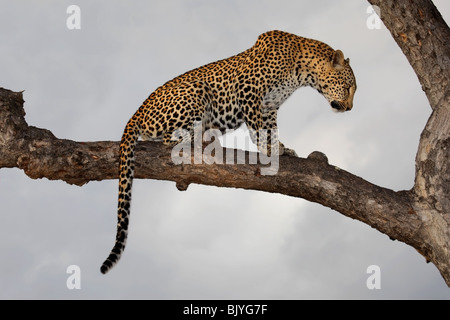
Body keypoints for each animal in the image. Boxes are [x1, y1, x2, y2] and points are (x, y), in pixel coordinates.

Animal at [100, 30, 356, 274]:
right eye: (348, 87)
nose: (350, 108)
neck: (302, 70)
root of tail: (137, 112)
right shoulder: (249, 91)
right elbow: (257, 129)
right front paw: (268, 149)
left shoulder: (269, 105)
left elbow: (271, 129)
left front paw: (281, 148)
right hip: (196, 91)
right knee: (168, 138)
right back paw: (199, 138)